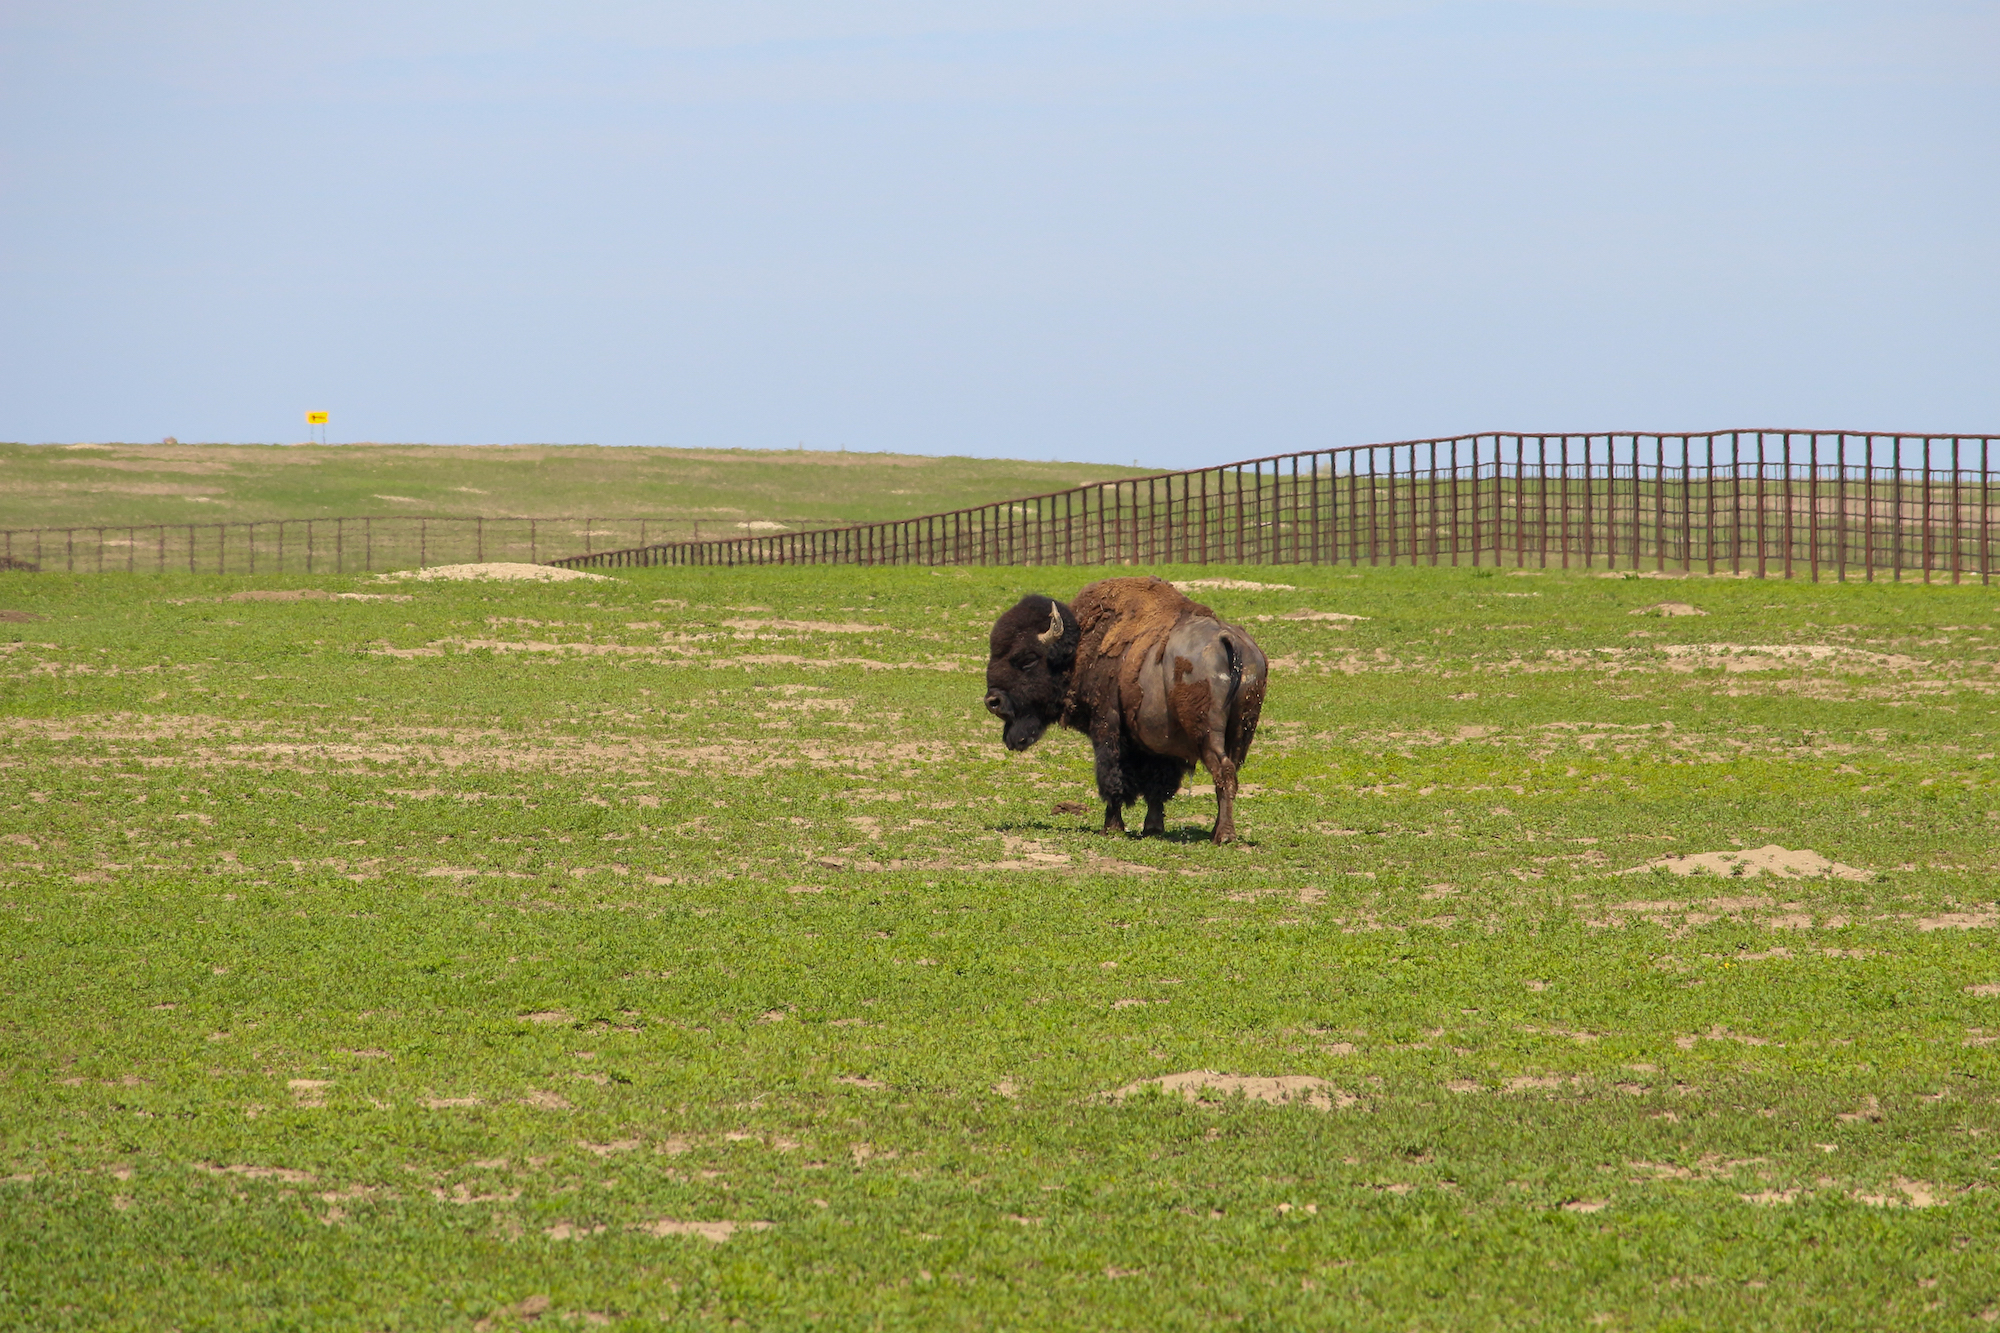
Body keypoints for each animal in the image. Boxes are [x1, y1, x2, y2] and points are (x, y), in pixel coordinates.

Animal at [984, 576, 1269, 844]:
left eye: (1028, 659)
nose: (992, 701)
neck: (1079, 648)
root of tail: (1227, 639)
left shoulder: (1107, 725)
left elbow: (1113, 777)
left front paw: (1112, 827)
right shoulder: (1159, 743)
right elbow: (1158, 785)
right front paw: (1152, 828)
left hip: (1207, 732)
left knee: (1223, 770)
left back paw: (1224, 835)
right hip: (1241, 731)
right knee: (1230, 773)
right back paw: (1217, 832)